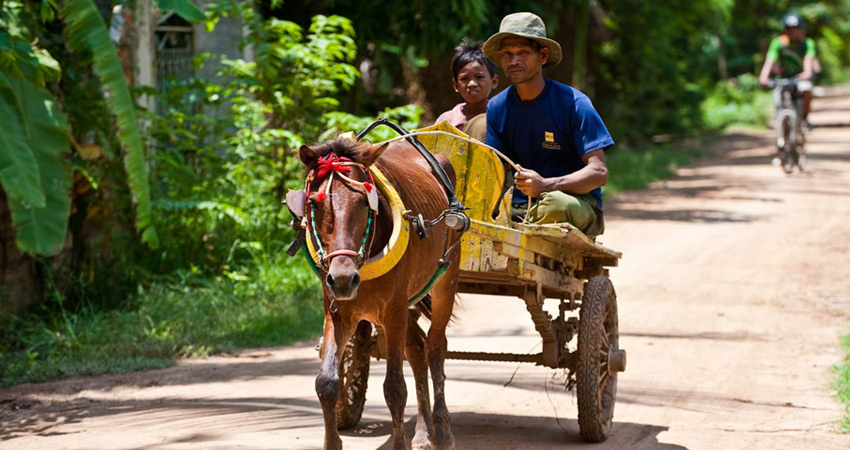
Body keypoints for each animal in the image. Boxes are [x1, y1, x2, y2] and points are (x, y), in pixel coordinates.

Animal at [296, 138, 458, 450]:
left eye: (363, 202)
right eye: (313, 203)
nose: (343, 279)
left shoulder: (394, 311)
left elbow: (395, 388)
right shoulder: (337, 312)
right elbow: (326, 383)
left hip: (445, 279)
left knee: (435, 348)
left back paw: (442, 430)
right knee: (417, 350)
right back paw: (423, 432)